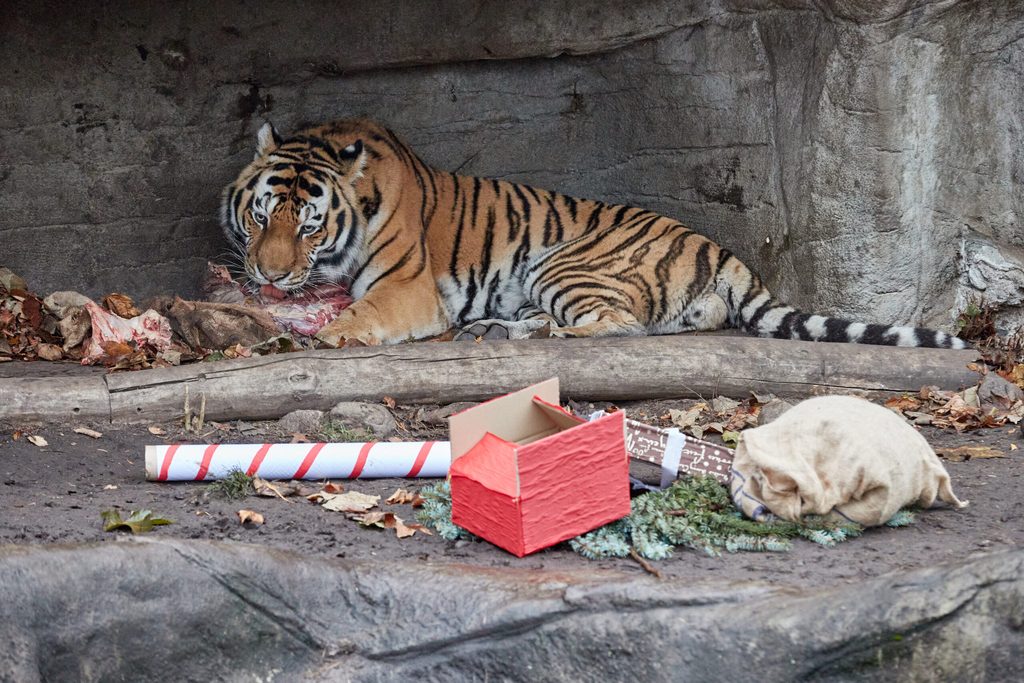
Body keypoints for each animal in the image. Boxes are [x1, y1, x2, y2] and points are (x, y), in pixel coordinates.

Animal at [221, 118, 967, 350]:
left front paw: (322, 334)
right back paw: (497, 328)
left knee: (615, 324)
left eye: (310, 225)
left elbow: (359, 313)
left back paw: (531, 334)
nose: (269, 274)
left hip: (564, 264)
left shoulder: (407, 290)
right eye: (261, 216)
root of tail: (724, 251)